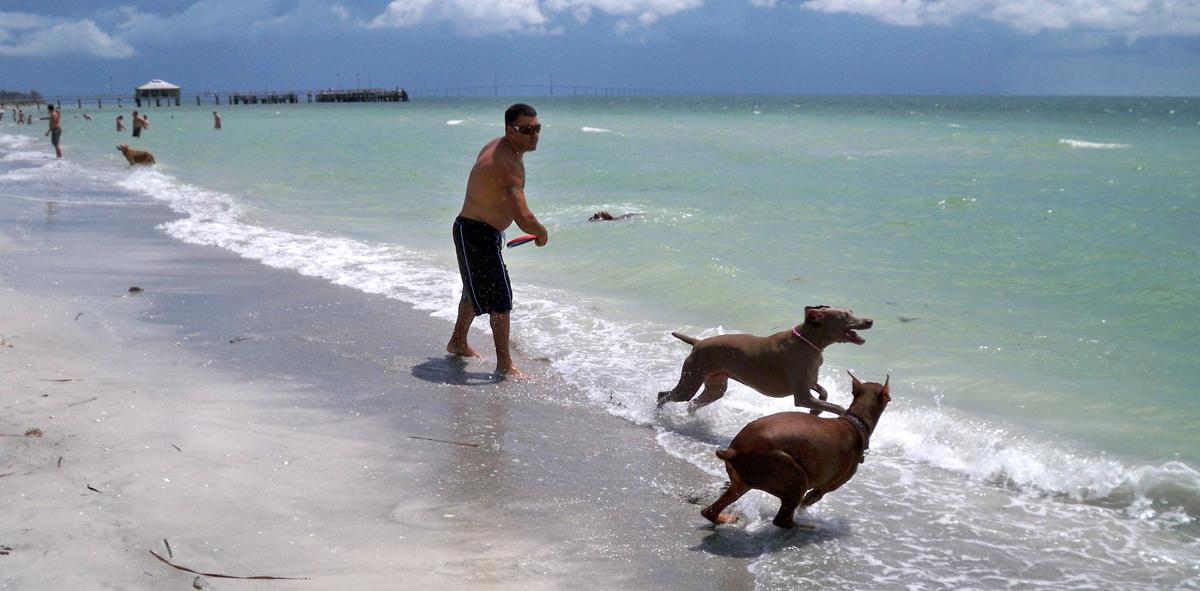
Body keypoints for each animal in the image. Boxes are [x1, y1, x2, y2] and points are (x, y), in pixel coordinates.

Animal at [657, 305, 873, 415]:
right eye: (846, 316)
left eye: (852, 312)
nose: (870, 320)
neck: (807, 341)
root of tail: (698, 342)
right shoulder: (802, 396)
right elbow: (838, 407)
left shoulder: (808, 381)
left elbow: (824, 392)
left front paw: (816, 411)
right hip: (691, 380)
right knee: (664, 395)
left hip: (715, 387)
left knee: (692, 403)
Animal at [700, 372, 892, 528]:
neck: (854, 422)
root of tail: (733, 450)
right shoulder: (826, 487)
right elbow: (808, 500)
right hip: (794, 476)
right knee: (782, 520)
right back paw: (806, 527)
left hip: (742, 483)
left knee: (709, 511)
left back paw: (724, 518)